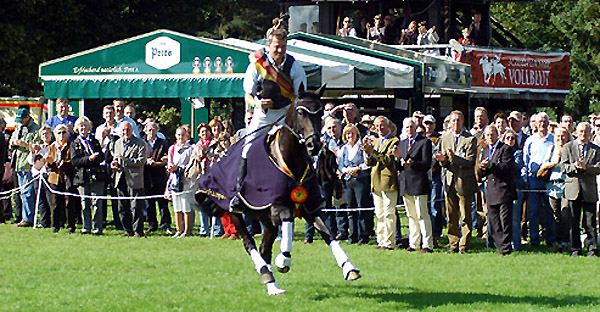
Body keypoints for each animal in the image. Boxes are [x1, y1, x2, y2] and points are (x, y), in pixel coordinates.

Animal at [196, 84, 360, 294]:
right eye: (300, 112)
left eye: (321, 112)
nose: (314, 145)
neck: (292, 160)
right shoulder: (278, 207)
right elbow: (288, 219)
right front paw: (284, 260)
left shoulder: (310, 208)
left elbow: (328, 233)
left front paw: (349, 268)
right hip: (236, 214)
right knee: (249, 243)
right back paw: (267, 274)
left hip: (266, 221)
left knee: (264, 248)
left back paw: (271, 284)